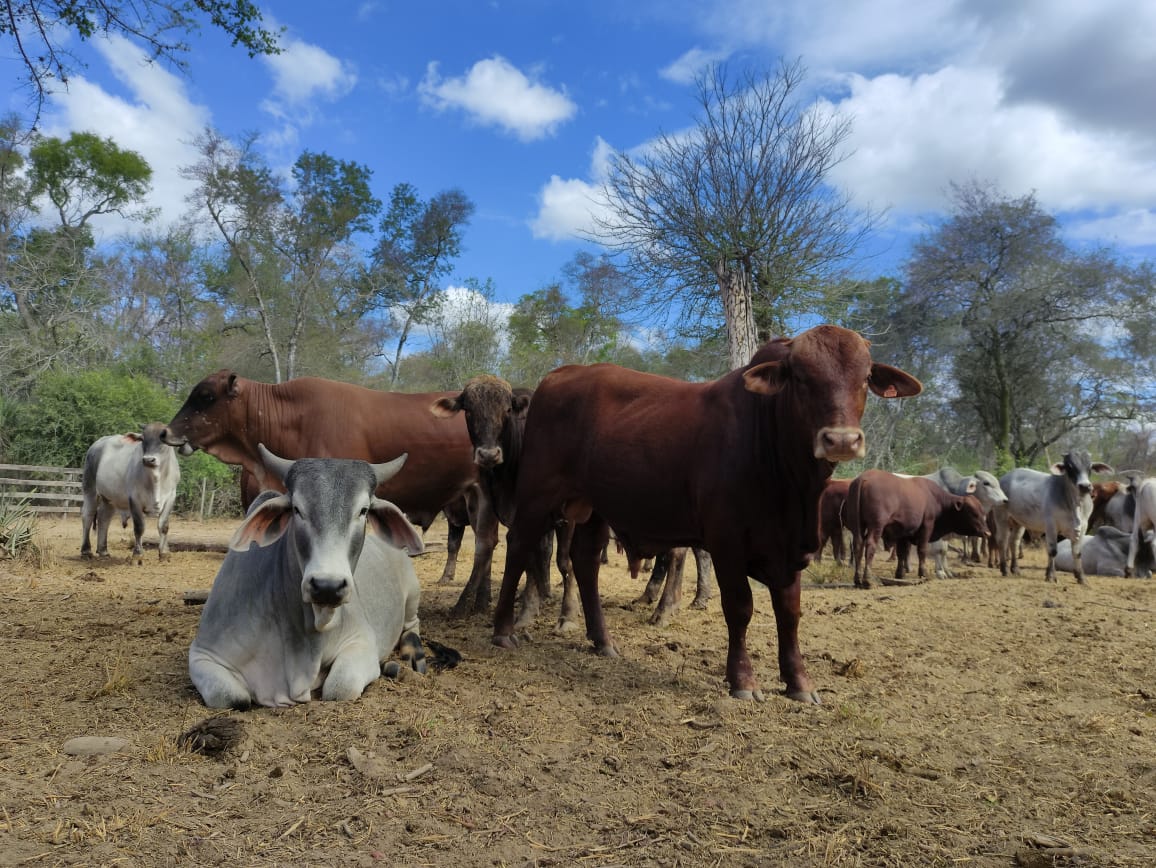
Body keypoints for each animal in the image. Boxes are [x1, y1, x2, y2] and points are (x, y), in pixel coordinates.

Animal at [80, 425, 180, 566]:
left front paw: (164, 554)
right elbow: (139, 527)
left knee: (104, 518)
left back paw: (103, 551)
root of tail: (97, 443)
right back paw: (86, 551)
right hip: (90, 489)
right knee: (87, 516)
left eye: (163, 439)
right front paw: (137, 555)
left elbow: (163, 526)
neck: (156, 478)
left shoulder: (171, 497)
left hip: (109, 499)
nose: (148, 459)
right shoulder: (134, 499)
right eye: (143, 439)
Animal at [165, 369, 499, 614]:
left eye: (206, 396)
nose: (166, 432)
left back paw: (463, 606)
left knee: (484, 545)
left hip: (481, 494)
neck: (292, 417)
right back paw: (482, 604)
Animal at [187, 443, 427, 707]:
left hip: (413, 594)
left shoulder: (360, 640)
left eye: (363, 510)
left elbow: (340, 687)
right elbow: (233, 697)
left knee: (413, 624)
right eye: (297, 509)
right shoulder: (203, 654)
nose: (327, 586)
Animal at [846, 469, 989, 591]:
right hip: (876, 526)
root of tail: (864, 478)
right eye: (973, 513)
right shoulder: (927, 527)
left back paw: (857, 579)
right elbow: (922, 550)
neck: (934, 497)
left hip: (857, 526)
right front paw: (923, 573)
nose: (987, 532)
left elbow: (902, 553)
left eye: (982, 511)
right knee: (870, 546)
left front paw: (900, 574)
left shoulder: (903, 533)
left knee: (858, 546)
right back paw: (868, 580)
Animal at [998, 455, 1114, 584]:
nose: (1085, 486)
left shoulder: (1082, 528)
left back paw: (1015, 569)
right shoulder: (1051, 527)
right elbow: (1053, 551)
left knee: (1014, 542)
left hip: (1019, 522)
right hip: (1002, 517)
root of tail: (1005, 477)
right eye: (1070, 468)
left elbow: (1077, 553)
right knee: (1002, 541)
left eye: (1090, 467)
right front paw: (1050, 575)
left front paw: (1081, 577)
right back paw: (1004, 569)